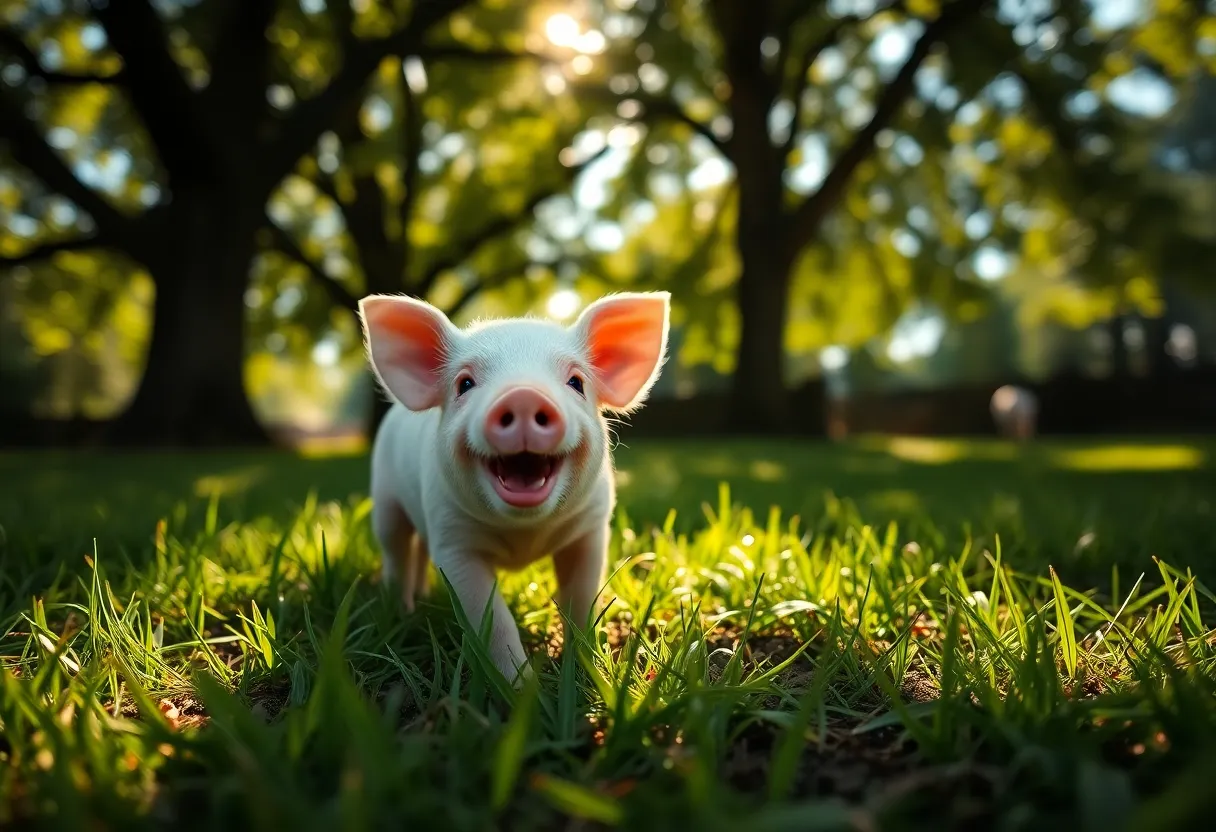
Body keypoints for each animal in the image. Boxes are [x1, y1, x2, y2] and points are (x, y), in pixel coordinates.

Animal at [358, 291, 671, 686]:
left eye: (576, 382)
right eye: (464, 384)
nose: (522, 395)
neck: (524, 534)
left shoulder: (591, 530)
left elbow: (582, 599)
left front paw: (587, 671)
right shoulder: (453, 541)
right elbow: (492, 617)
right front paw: (519, 686)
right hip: (385, 500)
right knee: (396, 550)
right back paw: (403, 612)